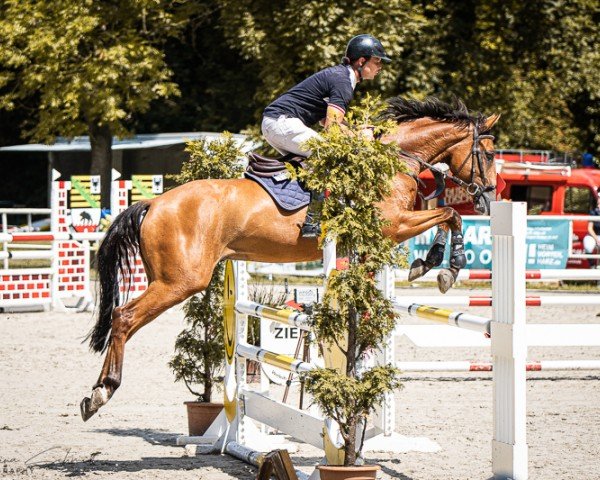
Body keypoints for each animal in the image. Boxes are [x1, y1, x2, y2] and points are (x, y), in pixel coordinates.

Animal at [81, 96, 502, 420]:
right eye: (488, 153)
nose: (490, 196)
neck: (388, 161)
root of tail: (153, 203)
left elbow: (448, 215)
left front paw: (430, 265)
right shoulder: (393, 226)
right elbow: (450, 214)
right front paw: (444, 266)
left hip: (175, 279)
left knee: (122, 320)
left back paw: (95, 393)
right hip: (179, 281)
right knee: (123, 317)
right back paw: (102, 392)